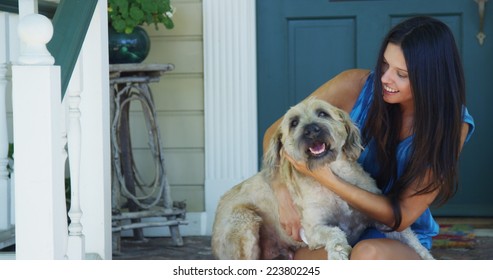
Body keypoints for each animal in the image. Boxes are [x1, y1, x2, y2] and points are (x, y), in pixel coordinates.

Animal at [209, 98, 432, 260]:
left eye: (323, 113)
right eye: (294, 123)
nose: (312, 130)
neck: (334, 176)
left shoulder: (385, 220)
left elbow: (413, 241)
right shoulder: (313, 229)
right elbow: (335, 233)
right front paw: (338, 254)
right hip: (245, 223)